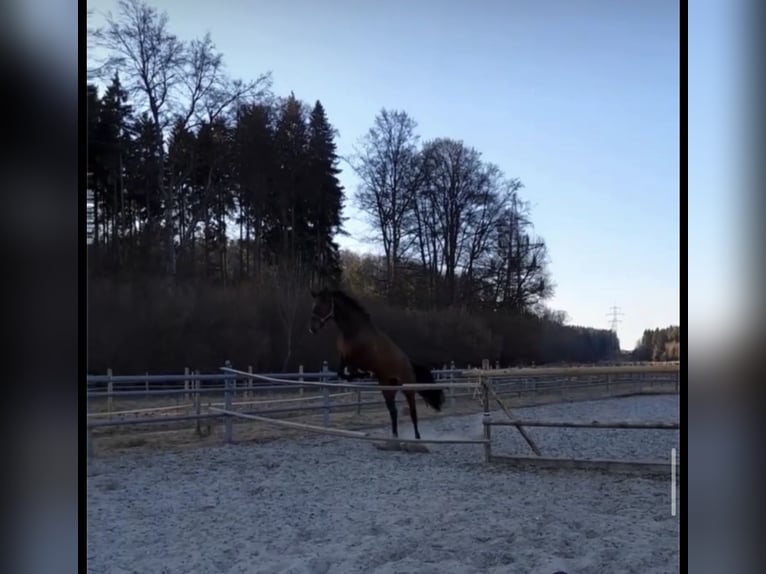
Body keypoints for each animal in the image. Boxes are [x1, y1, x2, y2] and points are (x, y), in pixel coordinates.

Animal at [308, 288, 445, 440]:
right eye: (313, 307)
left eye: (320, 307)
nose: (312, 329)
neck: (354, 331)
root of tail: (409, 364)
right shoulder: (344, 358)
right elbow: (342, 373)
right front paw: (362, 375)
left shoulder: (357, 360)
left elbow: (352, 371)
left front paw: (365, 374)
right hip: (388, 389)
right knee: (393, 412)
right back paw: (394, 436)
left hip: (408, 390)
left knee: (413, 413)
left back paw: (417, 437)